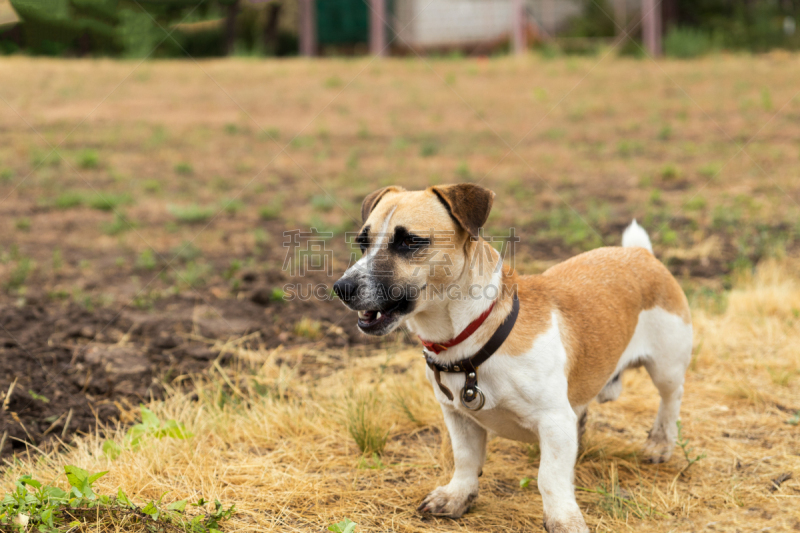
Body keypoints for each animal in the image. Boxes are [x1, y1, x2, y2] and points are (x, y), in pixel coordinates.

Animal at [332, 184, 692, 532]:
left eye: (409, 241)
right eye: (362, 242)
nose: (341, 288)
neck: (474, 337)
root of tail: (640, 253)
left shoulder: (554, 421)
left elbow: (550, 477)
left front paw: (563, 520)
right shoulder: (457, 415)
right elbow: (465, 459)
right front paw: (458, 497)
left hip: (666, 367)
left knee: (670, 400)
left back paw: (660, 443)